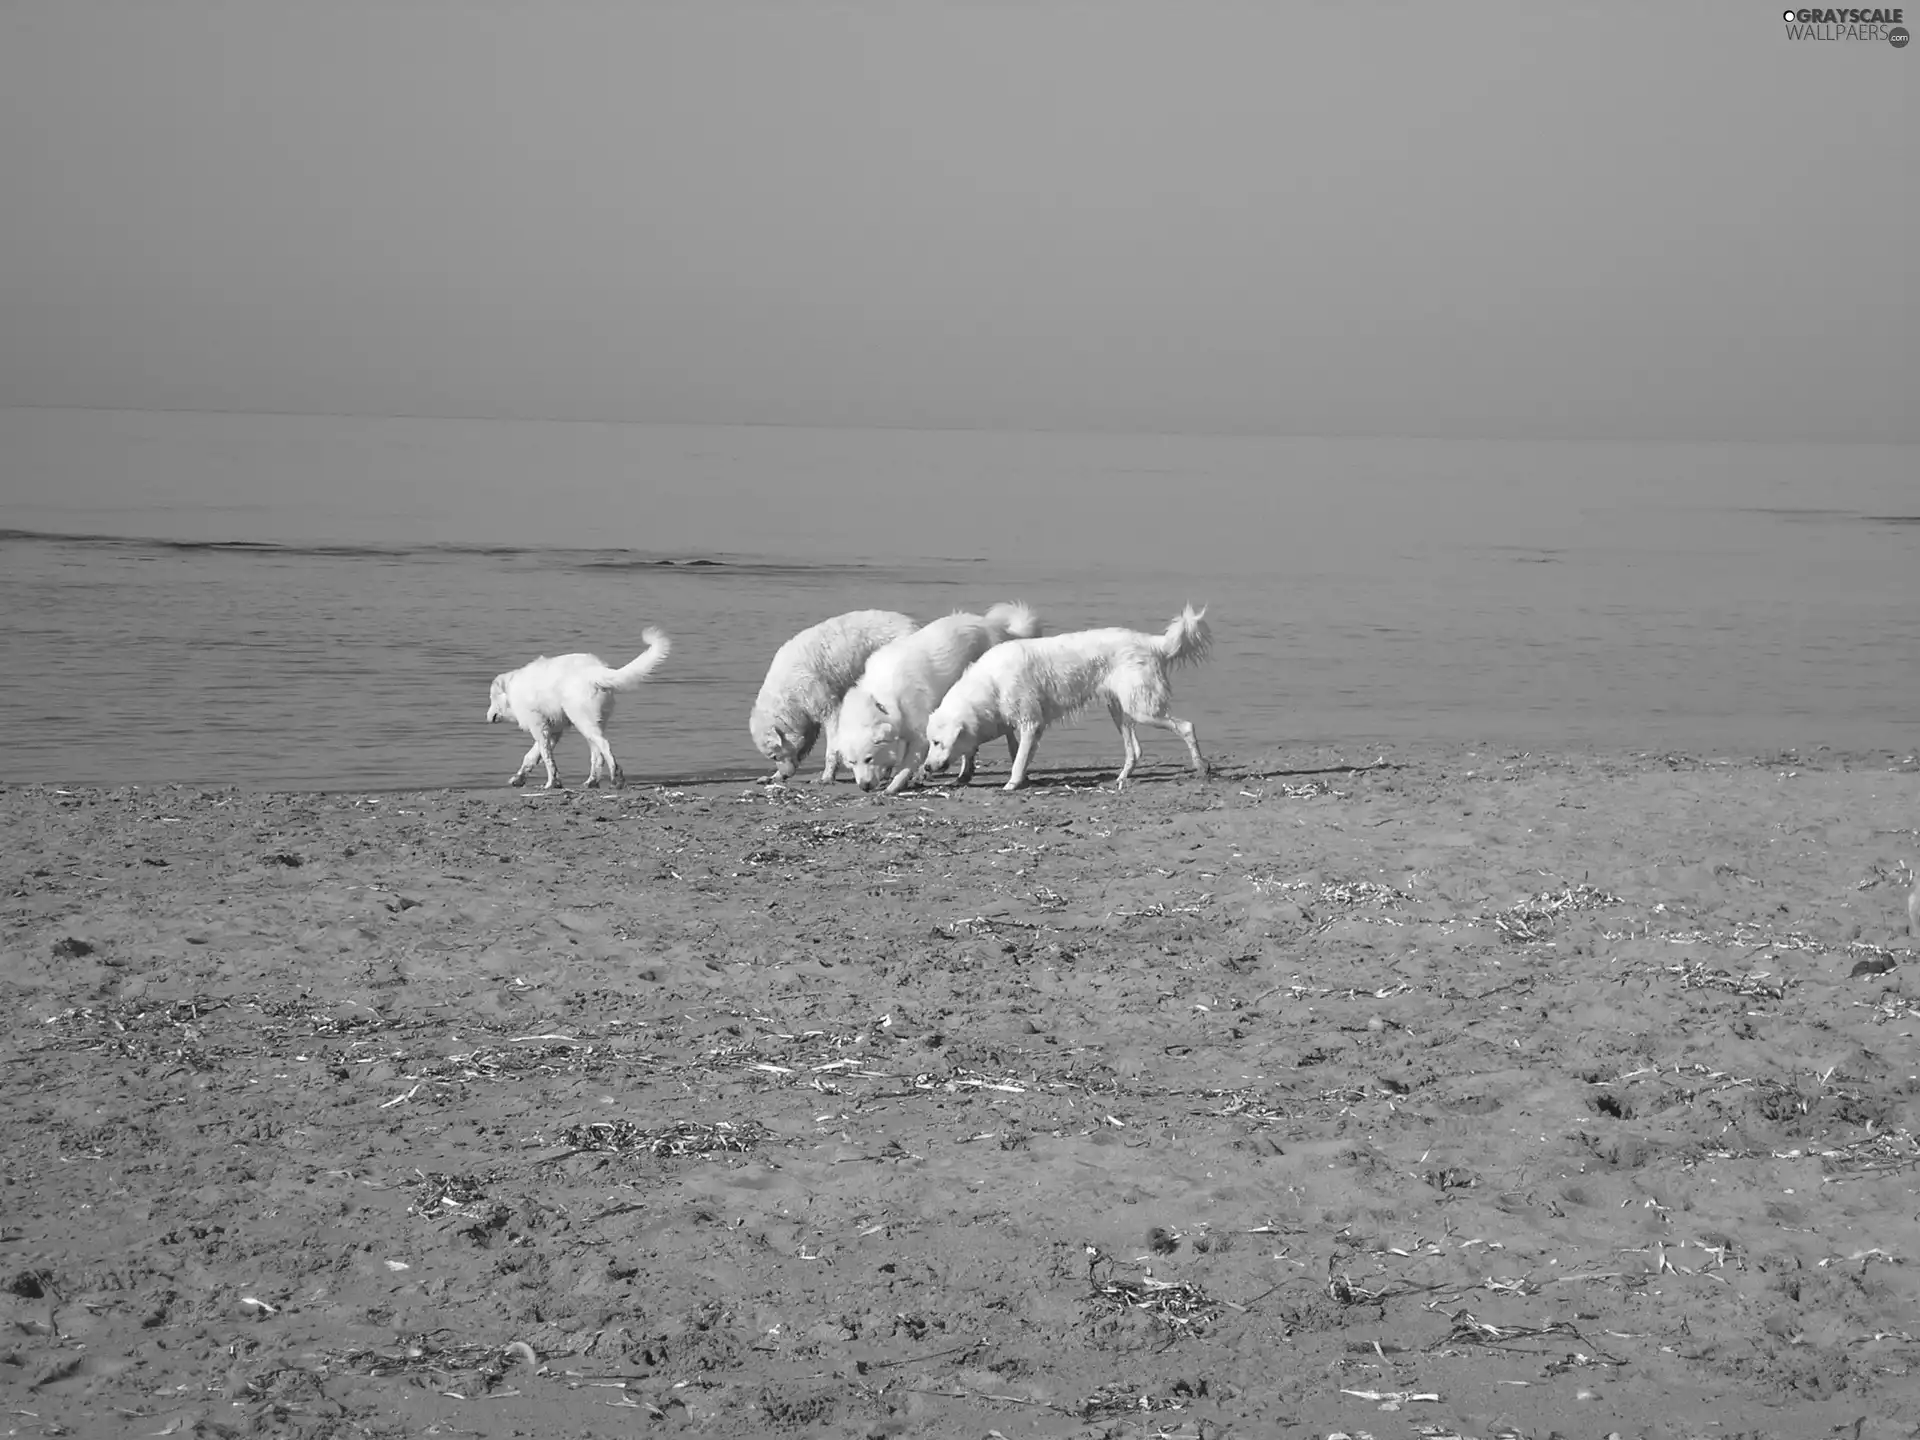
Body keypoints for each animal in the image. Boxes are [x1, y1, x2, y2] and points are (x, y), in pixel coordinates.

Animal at [487, 629, 675, 794]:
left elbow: (547, 758)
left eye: (491, 697)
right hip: (593, 723)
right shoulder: (554, 730)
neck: (512, 690)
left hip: (582, 720)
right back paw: (592, 782)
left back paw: (616, 779)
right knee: (597, 754)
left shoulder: (540, 727)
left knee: (604, 747)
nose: (487, 717)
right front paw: (519, 779)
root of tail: (594, 671)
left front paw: (551, 783)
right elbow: (532, 756)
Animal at [744, 610, 917, 791]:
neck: (788, 695)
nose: (785, 775)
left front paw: (826, 777)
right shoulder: (808, 719)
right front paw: (773, 777)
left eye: (774, 756)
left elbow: (832, 747)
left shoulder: (827, 706)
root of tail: (915, 625)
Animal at [840, 599, 1044, 802]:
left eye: (868, 759)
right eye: (852, 762)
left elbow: (906, 766)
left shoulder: (920, 736)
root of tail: (991, 624)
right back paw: (964, 776)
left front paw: (894, 786)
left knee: (1006, 735)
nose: (864, 787)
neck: (880, 699)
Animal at [917, 606, 1213, 794]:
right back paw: (1121, 778)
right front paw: (1023, 779)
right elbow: (1019, 753)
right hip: (1120, 709)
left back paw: (1201, 767)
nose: (928, 767)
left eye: (937, 742)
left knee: (1186, 726)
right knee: (1135, 751)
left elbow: (1019, 758)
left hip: (1142, 708)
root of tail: (1153, 642)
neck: (991, 683)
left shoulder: (1031, 723)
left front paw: (1012, 784)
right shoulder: (1021, 725)